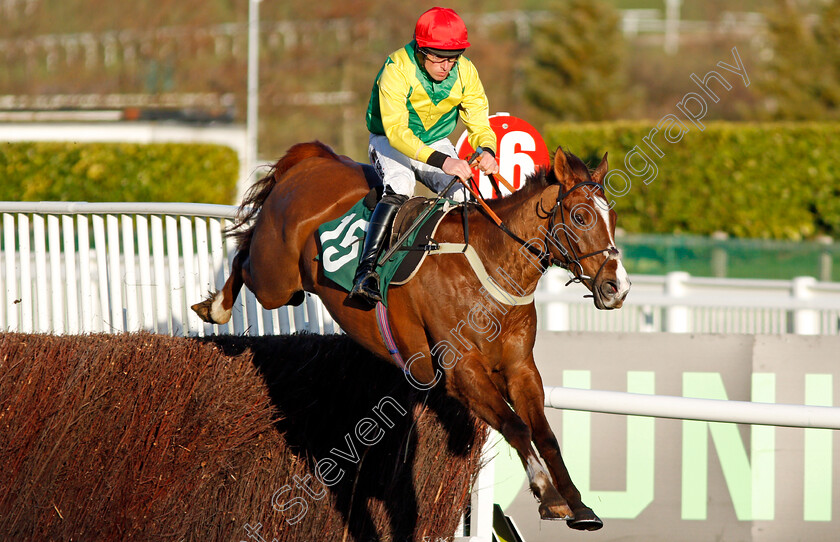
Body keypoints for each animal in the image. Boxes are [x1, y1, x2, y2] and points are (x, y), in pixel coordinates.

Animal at [192, 142, 632, 532]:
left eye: (612, 218)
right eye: (580, 217)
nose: (618, 288)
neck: (493, 266)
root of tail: (313, 159)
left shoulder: (521, 368)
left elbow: (545, 434)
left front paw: (578, 505)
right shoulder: (461, 372)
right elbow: (516, 426)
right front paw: (548, 493)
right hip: (276, 280)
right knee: (242, 256)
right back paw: (215, 308)